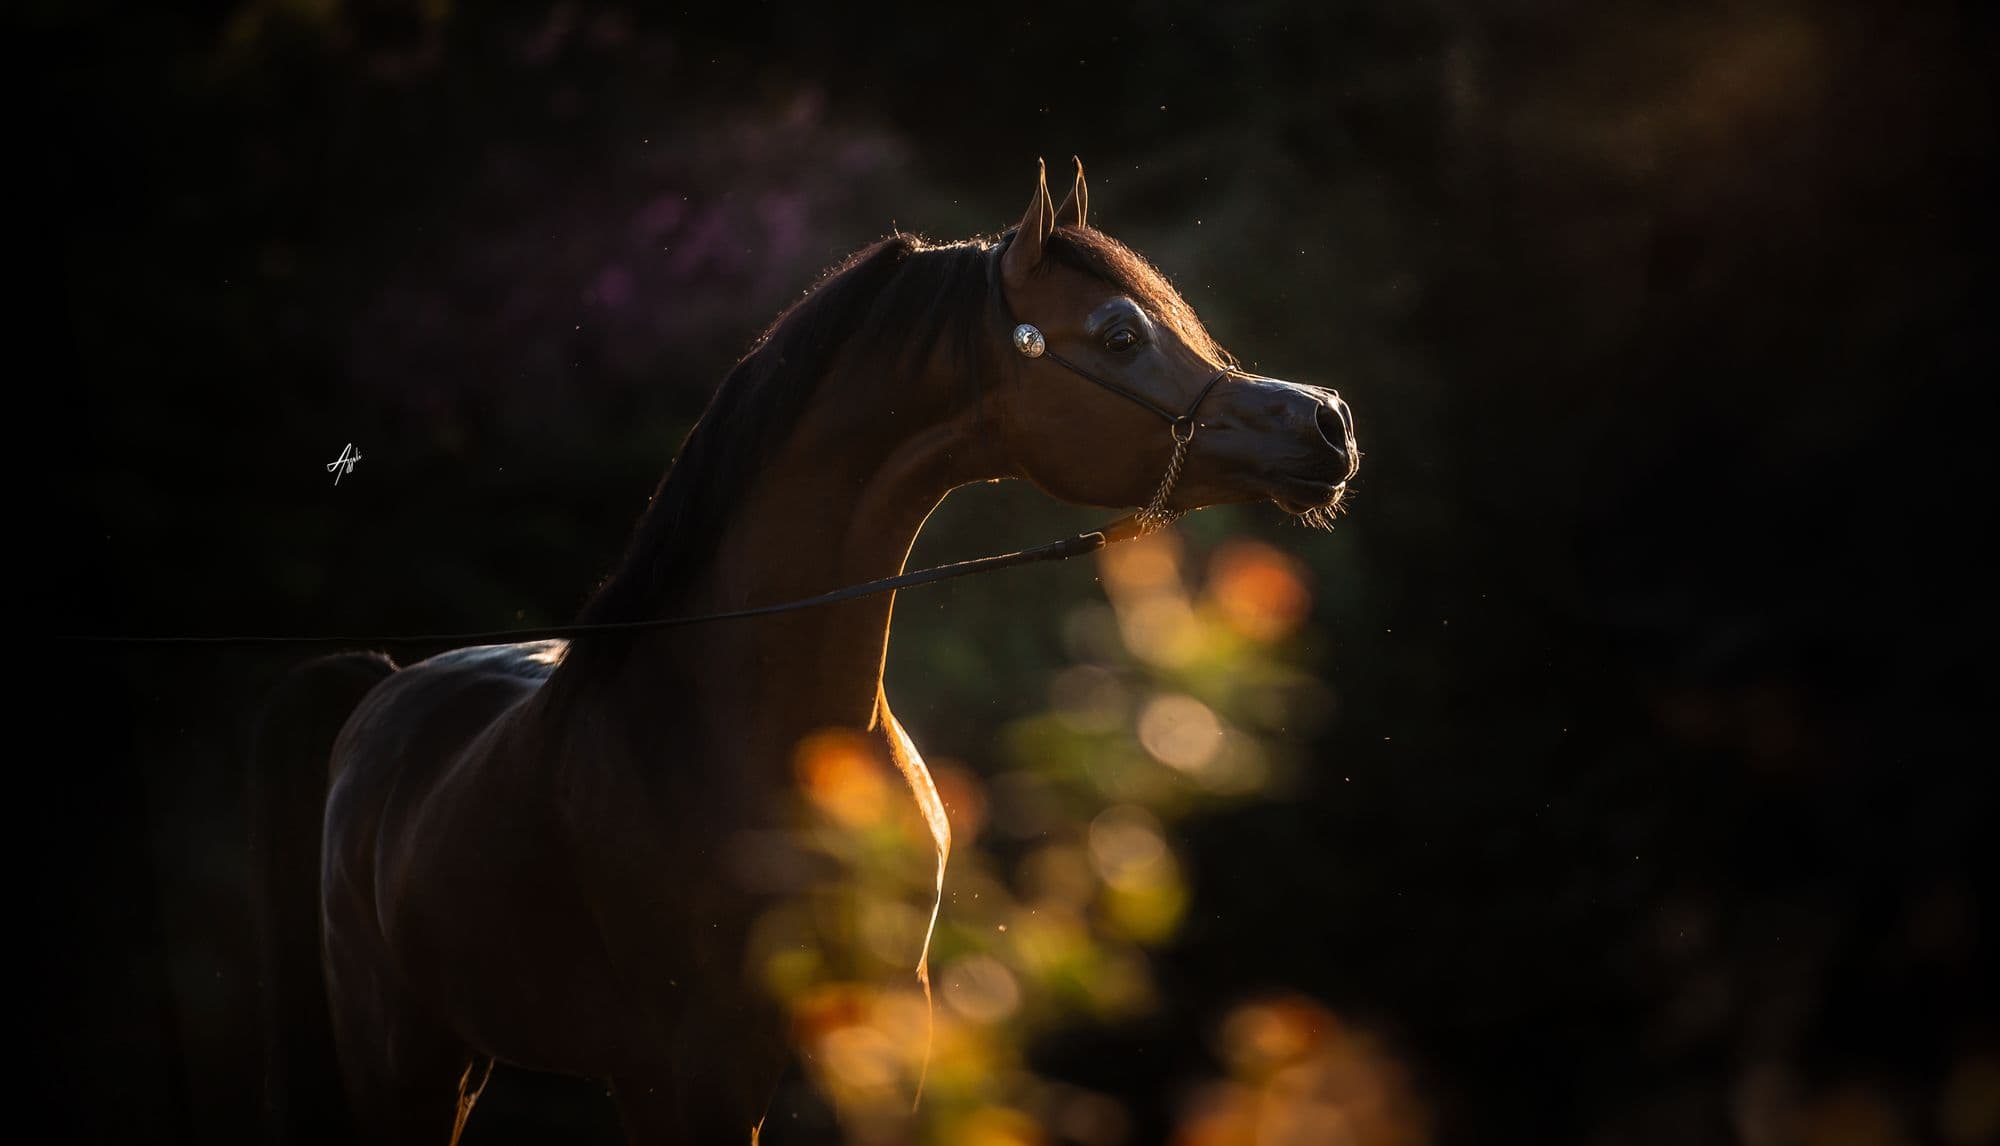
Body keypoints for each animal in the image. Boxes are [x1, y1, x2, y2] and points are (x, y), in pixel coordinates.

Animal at [251, 159, 1359, 1145]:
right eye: (1122, 333)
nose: (1329, 420)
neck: (751, 733)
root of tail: (389, 695)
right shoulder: (685, 1075)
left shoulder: (892, 1043)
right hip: (406, 1058)